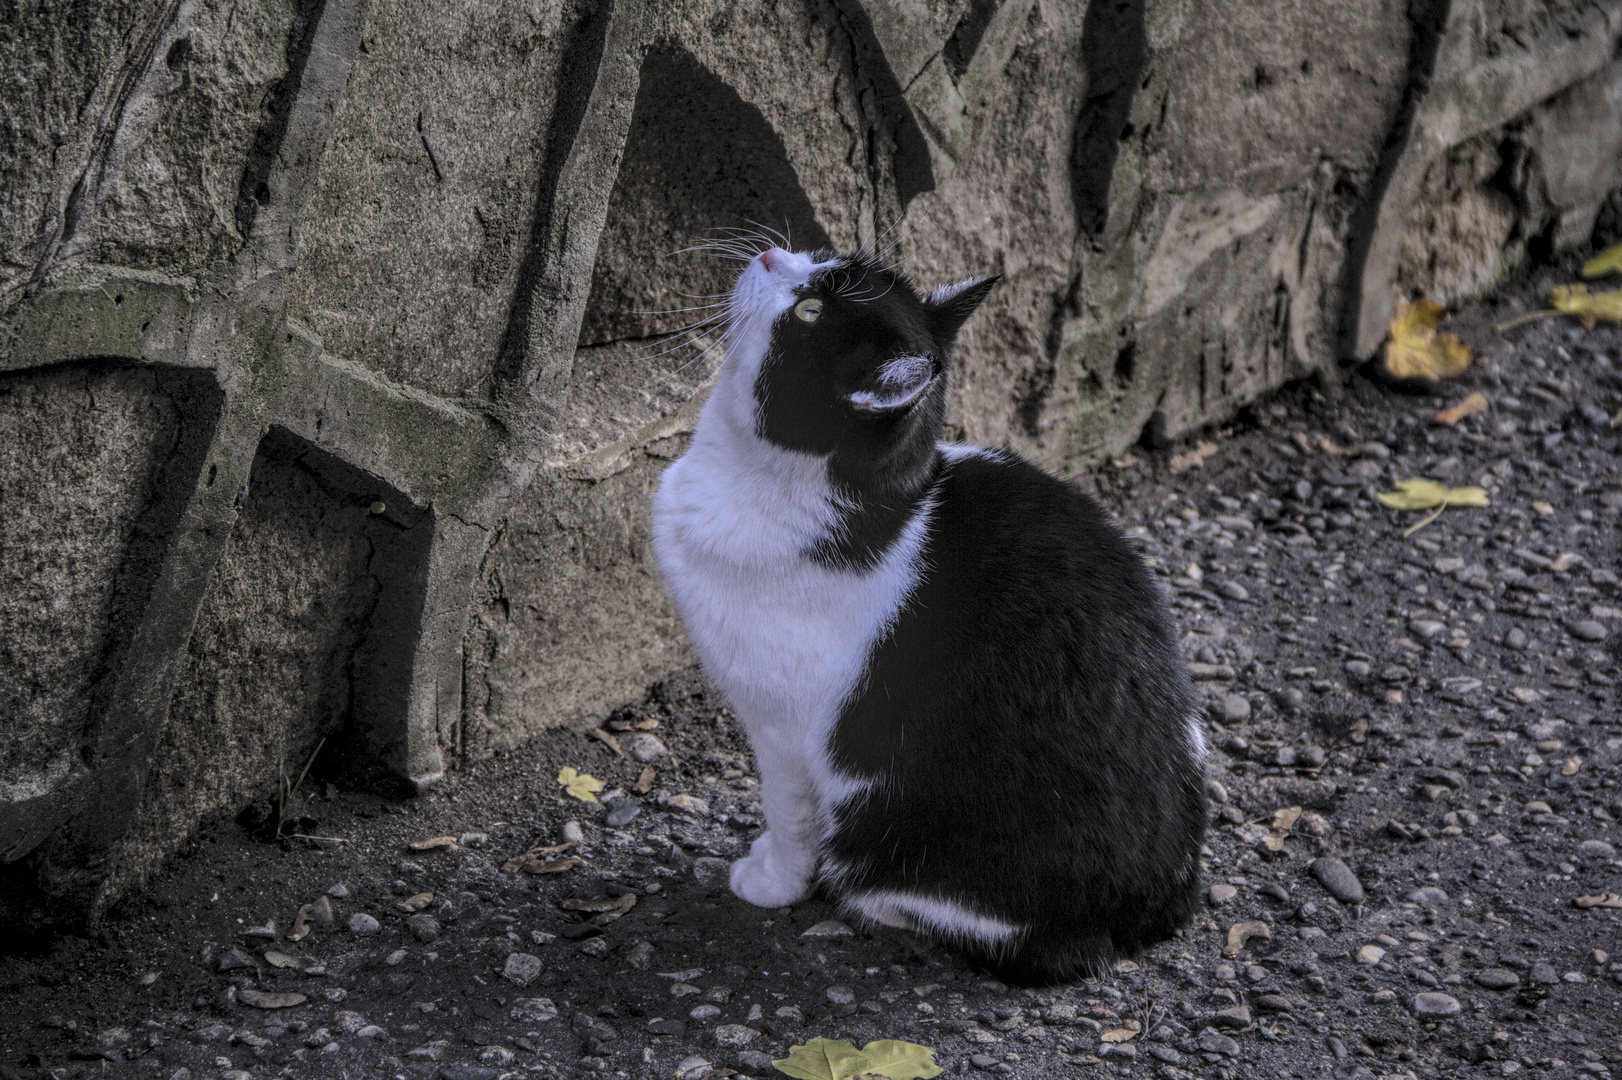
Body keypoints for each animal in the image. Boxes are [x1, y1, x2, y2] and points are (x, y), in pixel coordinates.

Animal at [648, 241, 1206, 972]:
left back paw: (876, 901)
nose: (772, 253)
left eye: (809, 311)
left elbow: (789, 813)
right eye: (823, 257)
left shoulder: (783, 730)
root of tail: (1160, 906)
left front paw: (772, 880)